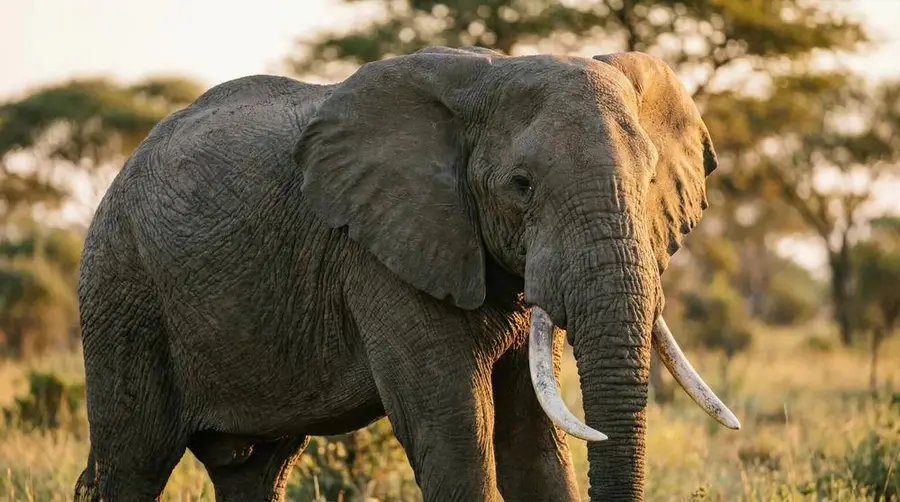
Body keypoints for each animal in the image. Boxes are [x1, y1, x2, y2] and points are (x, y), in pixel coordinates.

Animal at [73, 45, 740, 502]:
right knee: (133, 461)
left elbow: (534, 447)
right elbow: (457, 436)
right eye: (521, 186)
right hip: (122, 289)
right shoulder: (379, 254)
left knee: (253, 469)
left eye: (649, 181)